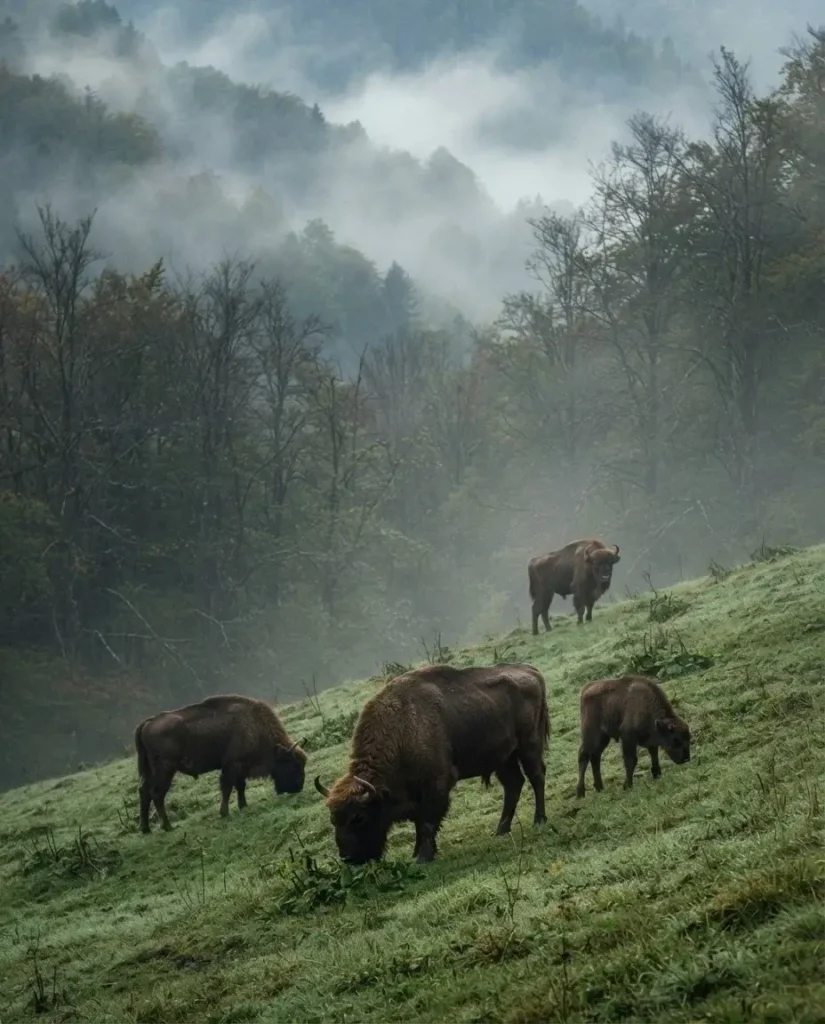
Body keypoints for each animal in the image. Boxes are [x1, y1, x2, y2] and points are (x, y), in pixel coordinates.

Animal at [135, 694, 307, 832]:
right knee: (157, 794)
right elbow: (228, 787)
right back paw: (168, 826)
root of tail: (147, 723)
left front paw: (243, 806)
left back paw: (146, 829)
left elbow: (240, 786)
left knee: (144, 791)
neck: (253, 724)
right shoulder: (232, 765)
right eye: (294, 765)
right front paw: (225, 813)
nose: (298, 787)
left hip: (150, 771)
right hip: (165, 770)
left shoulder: (239, 768)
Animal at [314, 663, 550, 864]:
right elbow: (419, 823)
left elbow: (427, 823)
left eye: (358, 817)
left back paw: (539, 820)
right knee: (513, 785)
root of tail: (531, 670)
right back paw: (500, 830)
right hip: (503, 758)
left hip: (529, 745)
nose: (347, 858)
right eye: (333, 819)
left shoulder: (435, 786)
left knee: (536, 776)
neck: (401, 730)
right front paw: (418, 853)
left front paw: (423, 858)